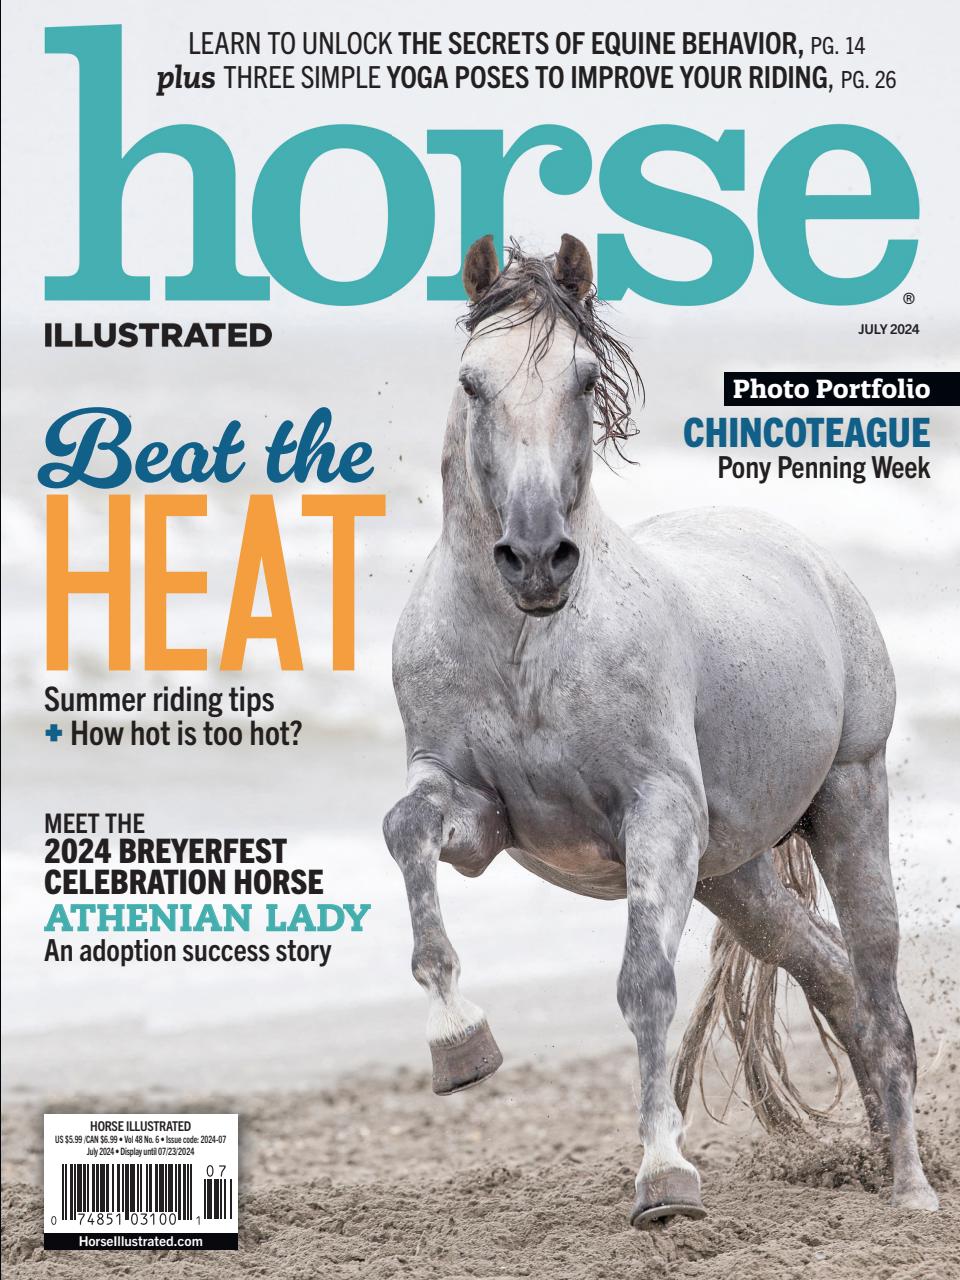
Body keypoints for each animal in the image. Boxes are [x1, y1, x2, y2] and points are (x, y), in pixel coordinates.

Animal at [383, 233, 938, 1227]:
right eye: (472, 381)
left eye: (582, 376)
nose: (536, 557)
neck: (528, 646)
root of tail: (806, 553)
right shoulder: (474, 813)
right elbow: (406, 829)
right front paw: (459, 1046)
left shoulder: (659, 816)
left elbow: (646, 984)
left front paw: (666, 1177)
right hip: (733, 876)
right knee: (828, 973)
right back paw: (877, 1152)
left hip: (849, 799)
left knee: (878, 986)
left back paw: (911, 1189)